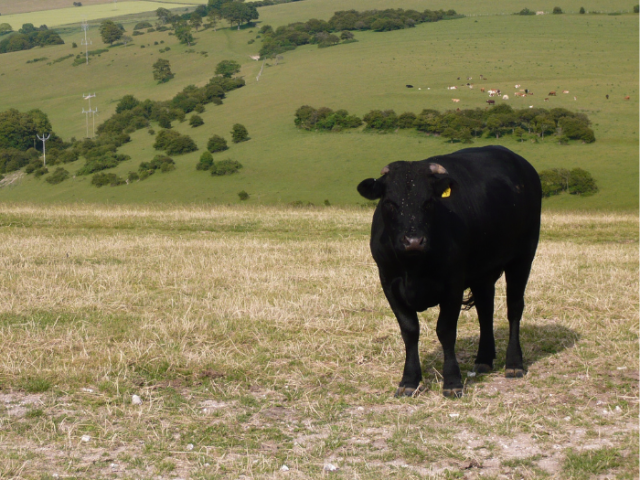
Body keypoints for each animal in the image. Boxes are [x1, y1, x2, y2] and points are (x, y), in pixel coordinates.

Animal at [358, 146, 544, 398]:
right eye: (389, 203)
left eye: (429, 202)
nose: (413, 241)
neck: (413, 268)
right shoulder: (388, 281)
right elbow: (409, 330)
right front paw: (409, 380)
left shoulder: (452, 283)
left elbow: (445, 330)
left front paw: (452, 381)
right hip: (483, 272)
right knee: (485, 310)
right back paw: (484, 359)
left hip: (523, 256)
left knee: (514, 308)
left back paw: (514, 364)